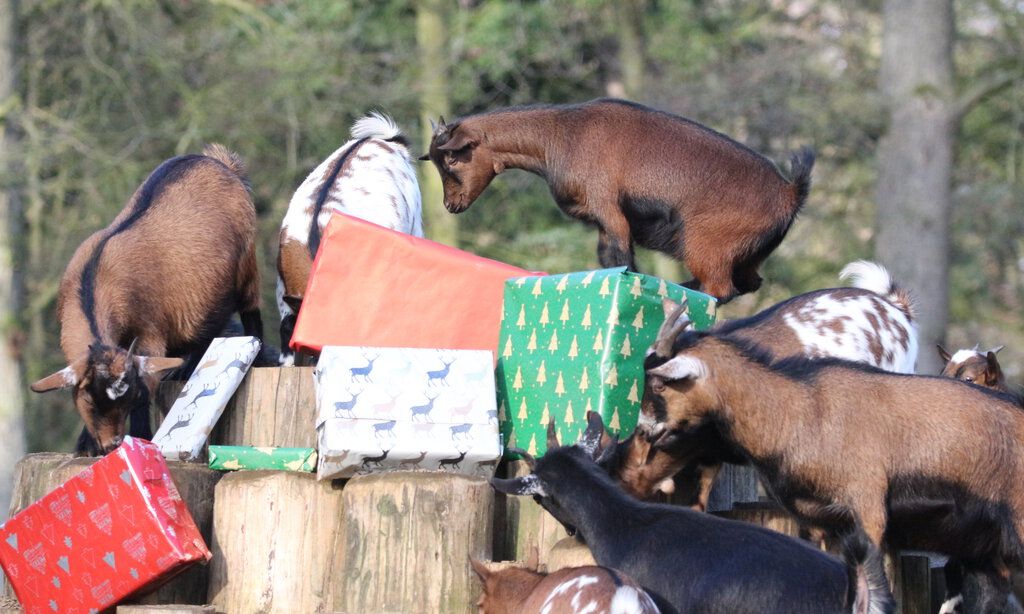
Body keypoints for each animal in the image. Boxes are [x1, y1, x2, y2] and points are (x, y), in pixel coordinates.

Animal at [30, 145, 263, 455]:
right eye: (89, 399)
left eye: (127, 399)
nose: (112, 444)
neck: (94, 278)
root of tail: (220, 162)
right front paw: (86, 445)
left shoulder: (150, 333)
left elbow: (147, 383)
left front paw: (141, 435)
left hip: (248, 267)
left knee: (251, 313)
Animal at [421, 99, 813, 303]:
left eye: (452, 160)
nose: (451, 205)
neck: (561, 135)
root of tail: (790, 193)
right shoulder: (601, 223)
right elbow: (611, 261)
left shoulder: (609, 210)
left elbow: (623, 260)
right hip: (746, 257)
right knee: (748, 284)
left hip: (706, 247)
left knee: (720, 289)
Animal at [636, 308, 1024, 612]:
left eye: (658, 384)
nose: (643, 431)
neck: (804, 409)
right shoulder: (819, 522)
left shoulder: (869, 510)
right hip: (985, 550)